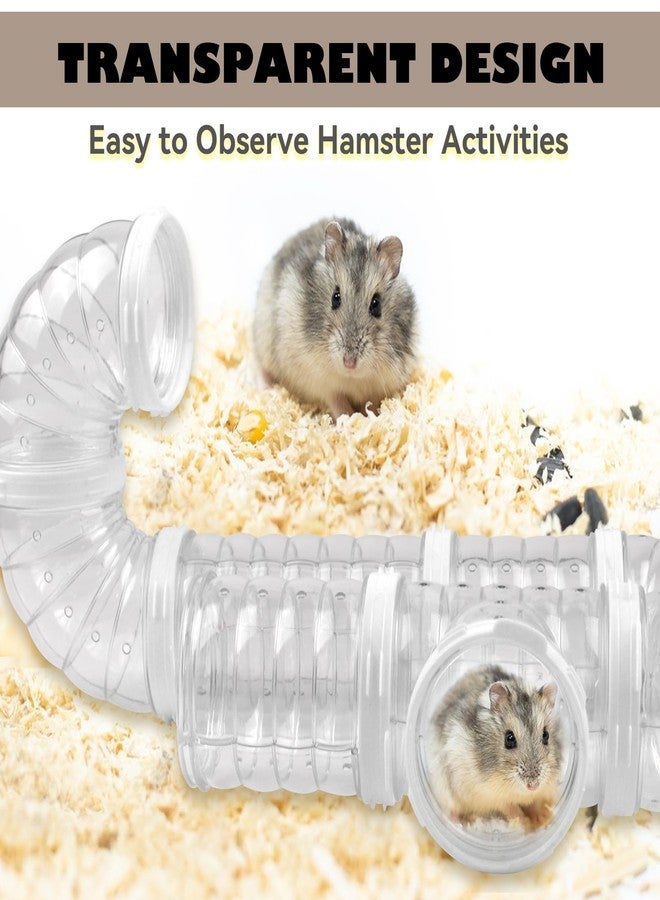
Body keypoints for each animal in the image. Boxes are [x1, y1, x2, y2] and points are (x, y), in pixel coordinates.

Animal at [253, 218, 418, 421]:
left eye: (376, 304)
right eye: (335, 297)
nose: (349, 363)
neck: (352, 377)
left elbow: (370, 404)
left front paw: (372, 417)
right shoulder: (320, 381)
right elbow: (337, 401)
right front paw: (349, 419)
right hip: (262, 336)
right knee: (260, 366)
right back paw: (266, 391)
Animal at [426, 664, 563, 831]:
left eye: (546, 735)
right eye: (509, 739)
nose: (533, 785)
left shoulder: (545, 788)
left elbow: (536, 803)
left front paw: (541, 818)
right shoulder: (489, 794)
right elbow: (510, 807)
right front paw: (524, 822)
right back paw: (457, 822)